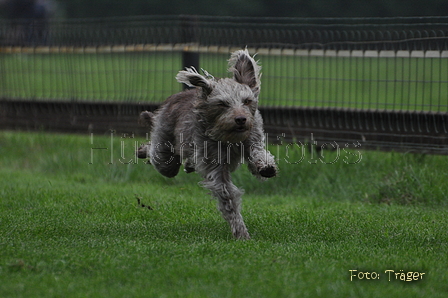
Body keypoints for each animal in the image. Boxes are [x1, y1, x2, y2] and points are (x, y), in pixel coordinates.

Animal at [137, 49, 276, 240]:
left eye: (247, 101)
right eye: (222, 104)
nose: (241, 119)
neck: (227, 138)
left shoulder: (252, 139)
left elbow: (259, 154)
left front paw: (266, 166)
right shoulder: (216, 169)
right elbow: (228, 198)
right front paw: (240, 232)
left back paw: (189, 164)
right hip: (164, 154)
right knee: (159, 157)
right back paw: (143, 150)